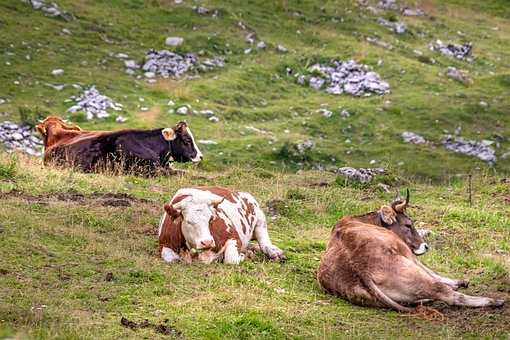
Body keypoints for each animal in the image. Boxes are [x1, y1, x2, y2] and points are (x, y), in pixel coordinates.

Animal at [316, 190, 504, 312]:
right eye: (408, 224)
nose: (425, 246)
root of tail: (358, 269)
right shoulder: (407, 253)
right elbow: (431, 271)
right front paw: (458, 282)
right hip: (411, 269)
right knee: (446, 293)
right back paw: (494, 301)